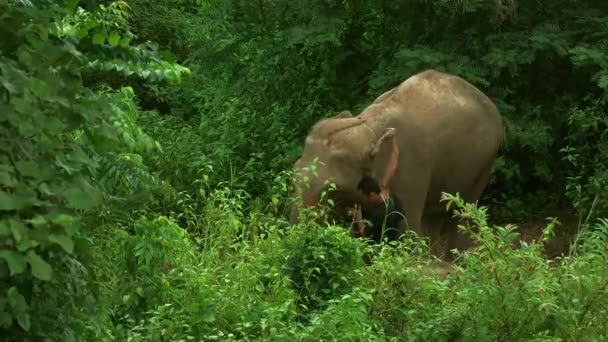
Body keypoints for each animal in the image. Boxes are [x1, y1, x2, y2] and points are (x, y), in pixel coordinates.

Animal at [288, 69, 504, 256]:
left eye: (332, 188)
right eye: (294, 170)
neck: (367, 123)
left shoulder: (412, 164)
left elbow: (406, 222)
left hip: (484, 162)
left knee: (464, 209)